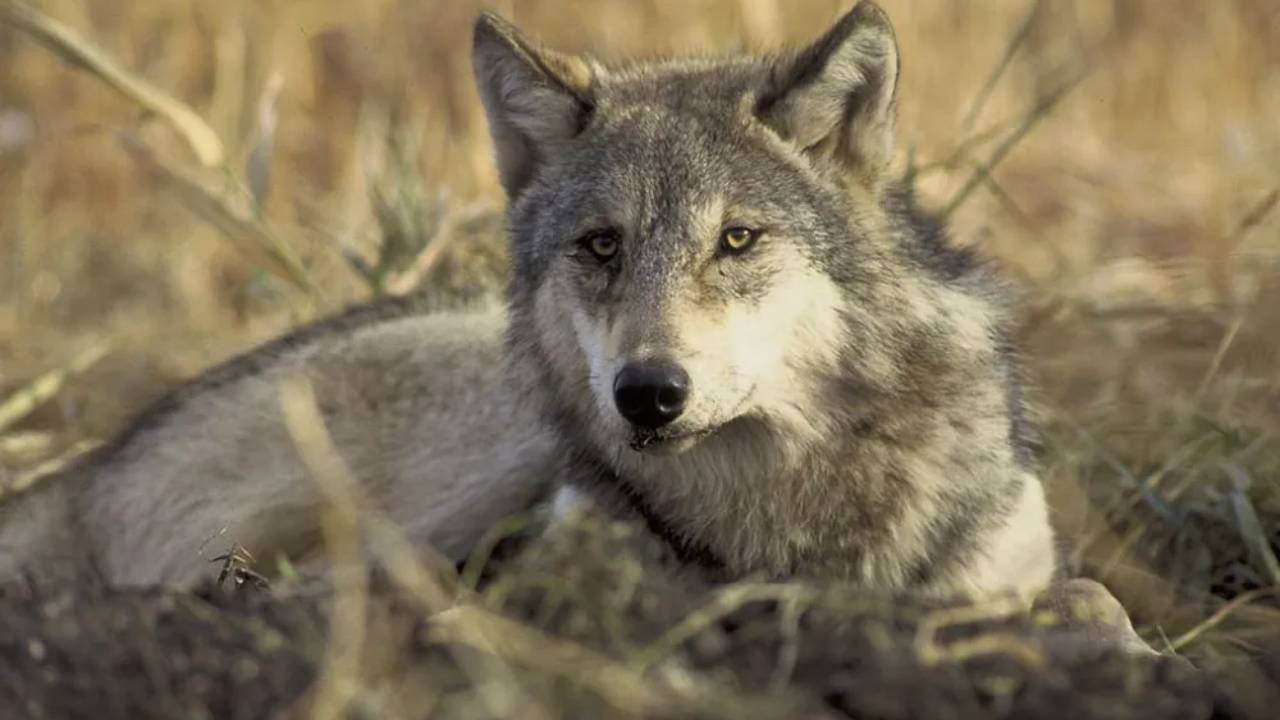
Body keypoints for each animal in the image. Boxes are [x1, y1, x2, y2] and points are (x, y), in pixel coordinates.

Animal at [0, 2, 1064, 603]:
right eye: (602, 246)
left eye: (737, 240)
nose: (648, 394)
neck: (782, 514)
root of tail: (88, 471)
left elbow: (1078, 598)